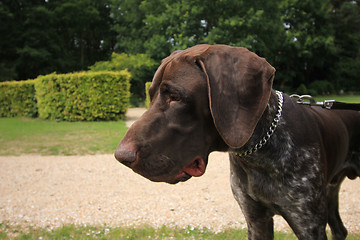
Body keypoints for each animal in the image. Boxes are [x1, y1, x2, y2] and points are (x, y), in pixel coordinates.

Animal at [115, 44, 360, 239]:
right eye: (151, 95)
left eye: (175, 97)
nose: (121, 156)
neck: (259, 153)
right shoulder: (256, 221)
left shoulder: (308, 224)